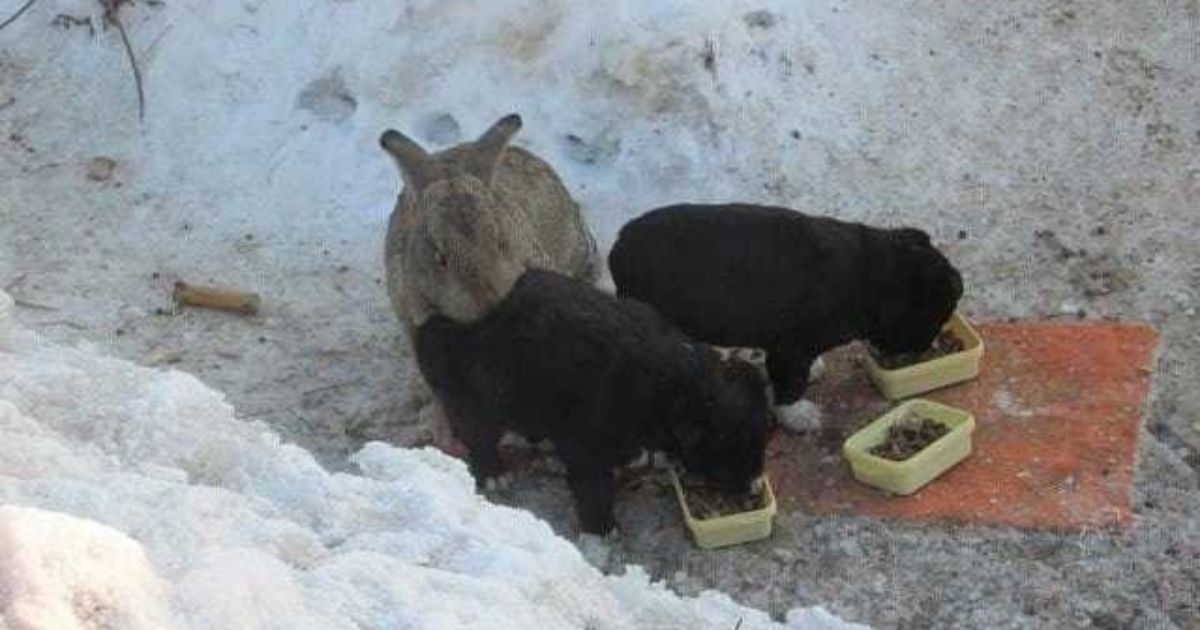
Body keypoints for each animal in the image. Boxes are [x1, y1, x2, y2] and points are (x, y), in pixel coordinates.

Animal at [415, 267, 768, 532]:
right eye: (726, 450)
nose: (751, 489)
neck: (674, 384)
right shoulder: (584, 441)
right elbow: (592, 484)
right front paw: (602, 527)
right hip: (485, 387)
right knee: (473, 424)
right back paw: (492, 472)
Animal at [609, 204, 964, 405]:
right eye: (932, 317)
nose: (922, 349)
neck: (876, 275)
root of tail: (618, 248)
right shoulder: (791, 348)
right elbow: (790, 388)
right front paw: (802, 415)